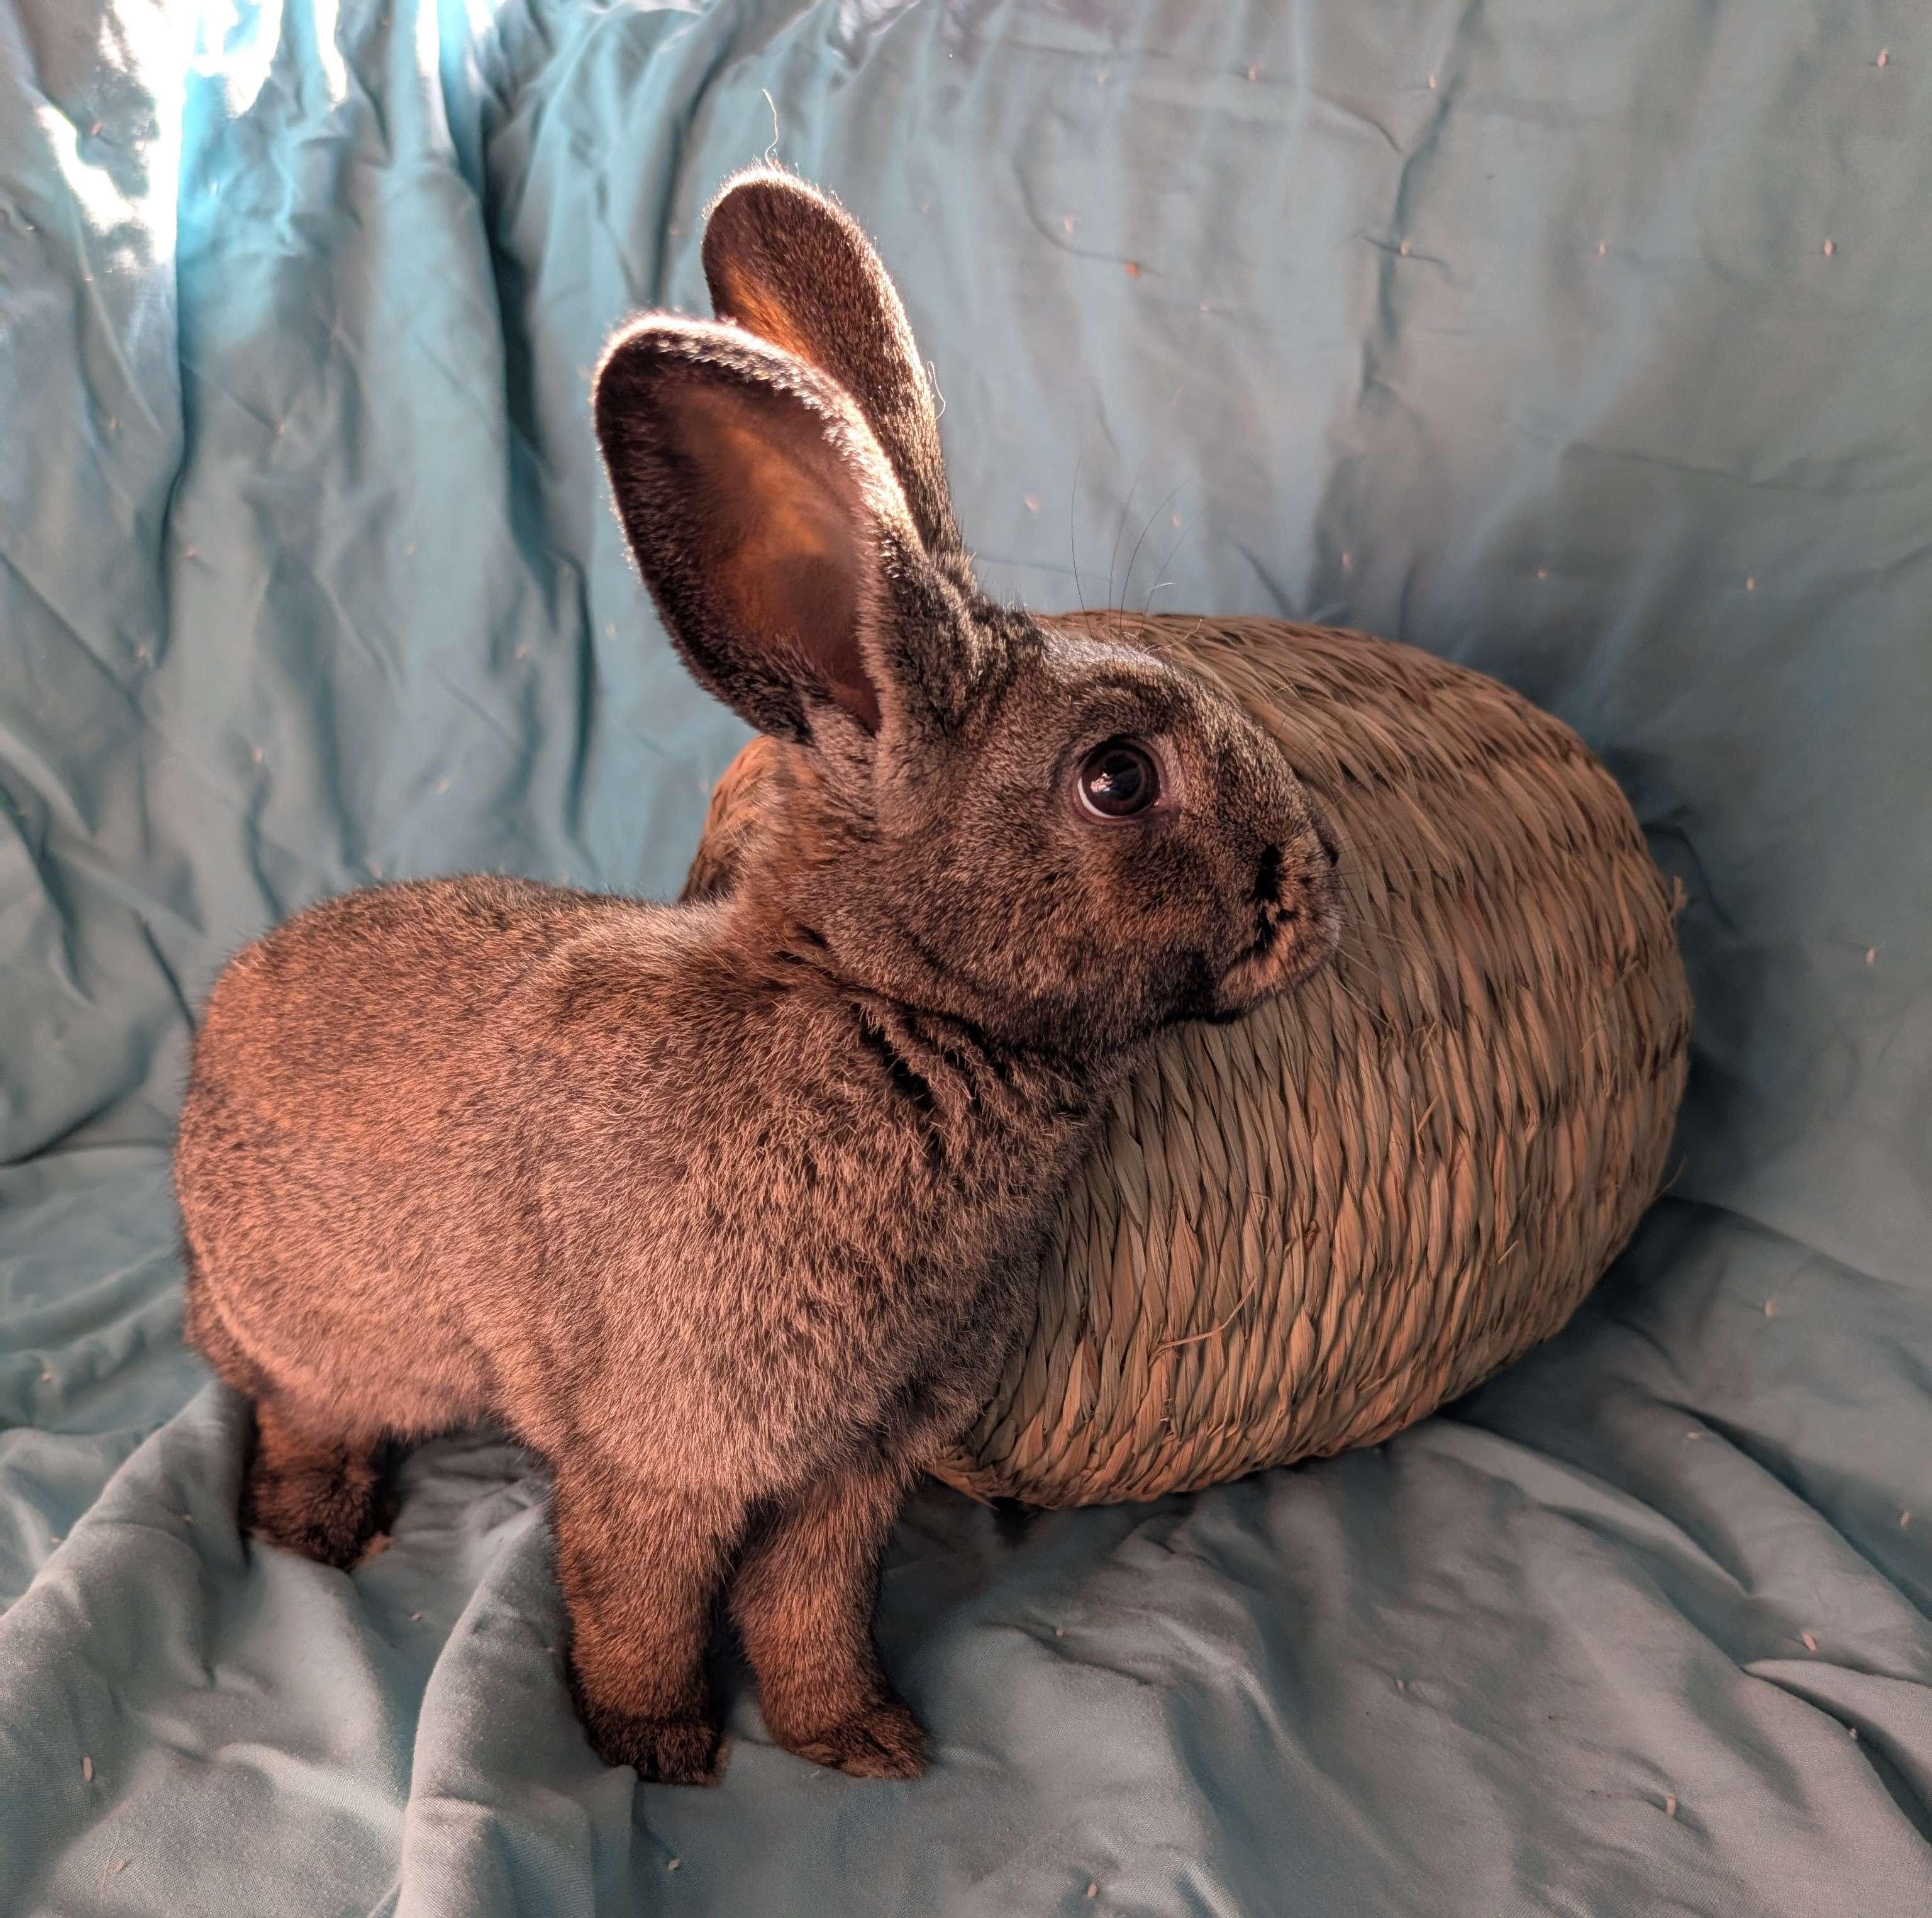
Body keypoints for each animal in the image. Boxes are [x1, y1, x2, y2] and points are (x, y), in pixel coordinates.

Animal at [173, 167, 1341, 1787]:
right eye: (1116, 778)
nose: (1313, 891)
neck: (885, 1006)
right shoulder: (667, 1451)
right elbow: (641, 1596)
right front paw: (657, 1746)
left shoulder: (855, 1468)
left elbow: (810, 1601)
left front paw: (862, 1739)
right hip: (323, 1334)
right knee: (296, 1407)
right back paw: (317, 1529)